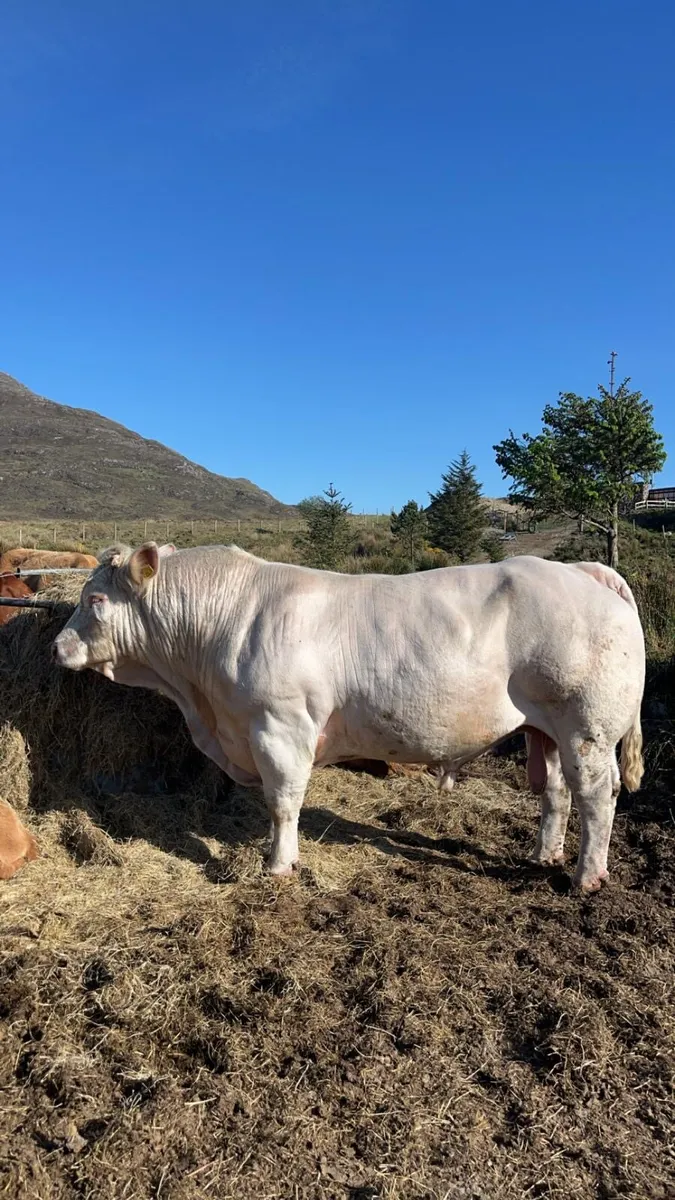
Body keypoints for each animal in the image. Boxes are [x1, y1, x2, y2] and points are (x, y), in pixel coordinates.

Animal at [52, 544, 645, 892]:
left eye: (95, 598)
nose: (57, 646)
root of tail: (580, 569)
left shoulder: (280, 726)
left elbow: (283, 802)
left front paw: (278, 865)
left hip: (587, 726)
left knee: (597, 796)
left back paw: (585, 877)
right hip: (546, 730)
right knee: (557, 793)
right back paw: (545, 856)